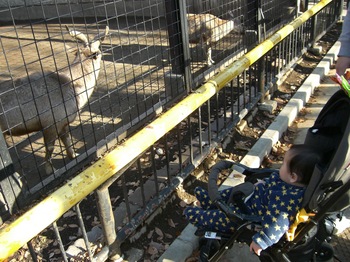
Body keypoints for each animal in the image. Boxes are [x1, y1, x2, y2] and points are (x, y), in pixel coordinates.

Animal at [0, 25, 108, 175]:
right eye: (97, 52)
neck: (68, 84)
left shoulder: (62, 124)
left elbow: (67, 140)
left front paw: (74, 156)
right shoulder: (50, 125)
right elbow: (50, 148)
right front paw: (51, 170)